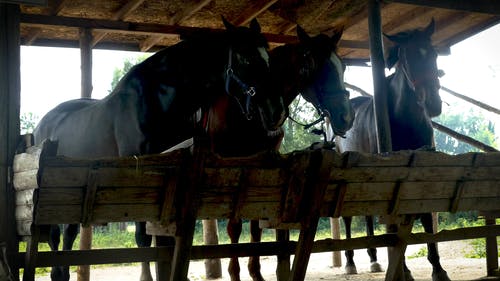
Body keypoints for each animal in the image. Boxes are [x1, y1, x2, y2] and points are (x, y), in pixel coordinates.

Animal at [33, 18, 286, 280]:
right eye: (244, 57)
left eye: (268, 56)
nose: (276, 111)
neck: (156, 102)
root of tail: (43, 125)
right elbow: (143, 237)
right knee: (55, 234)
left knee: (68, 234)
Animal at [204, 24, 356, 280]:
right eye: (315, 67)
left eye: (343, 66)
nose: (346, 116)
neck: (247, 112)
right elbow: (234, 226)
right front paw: (235, 273)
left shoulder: (264, 169)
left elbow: (255, 225)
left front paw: (255, 272)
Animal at [336, 19, 450, 280]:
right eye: (407, 57)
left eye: (434, 53)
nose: (433, 104)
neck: (405, 120)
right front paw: (404, 270)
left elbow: (426, 217)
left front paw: (438, 269)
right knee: (348, 217)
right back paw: (350, 262)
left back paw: (373, 259)